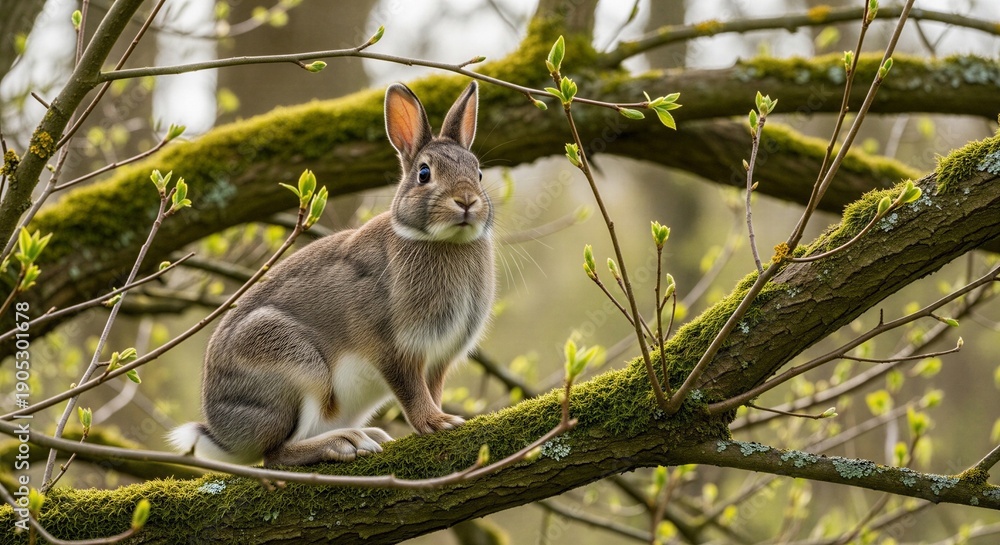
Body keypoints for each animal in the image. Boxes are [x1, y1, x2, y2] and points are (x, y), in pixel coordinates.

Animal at [168, 81, 495, 466]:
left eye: (478, 173)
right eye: (424, 174)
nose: (467, 201)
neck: (443, 240)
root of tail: (224, 436)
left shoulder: (438, 359)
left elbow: (431, 389)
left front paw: (440, 417)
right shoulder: (392, 347)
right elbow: (412, 391)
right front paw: (438, 422)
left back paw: (368, 436)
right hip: (294, 367)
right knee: (276, 455)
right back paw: (343, 443)